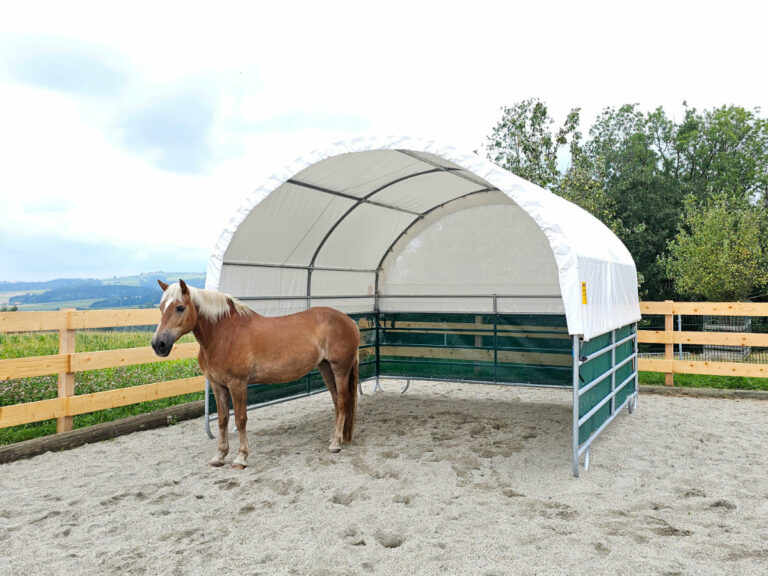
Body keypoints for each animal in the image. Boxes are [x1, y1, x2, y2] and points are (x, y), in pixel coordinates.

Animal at [153, 280, 364, 468]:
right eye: (161, 307)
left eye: (180, 307)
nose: (158, 344)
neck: (224, 335)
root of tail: (349, 321)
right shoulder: (217, 385)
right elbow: (222, 420)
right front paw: (219, 456)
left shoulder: (237, 384)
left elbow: (240, 419)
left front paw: (241, 458)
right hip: (325, 367)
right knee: (336, 402)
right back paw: (334, 439)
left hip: (340, 369)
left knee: (343, 402)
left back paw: (335, 444)